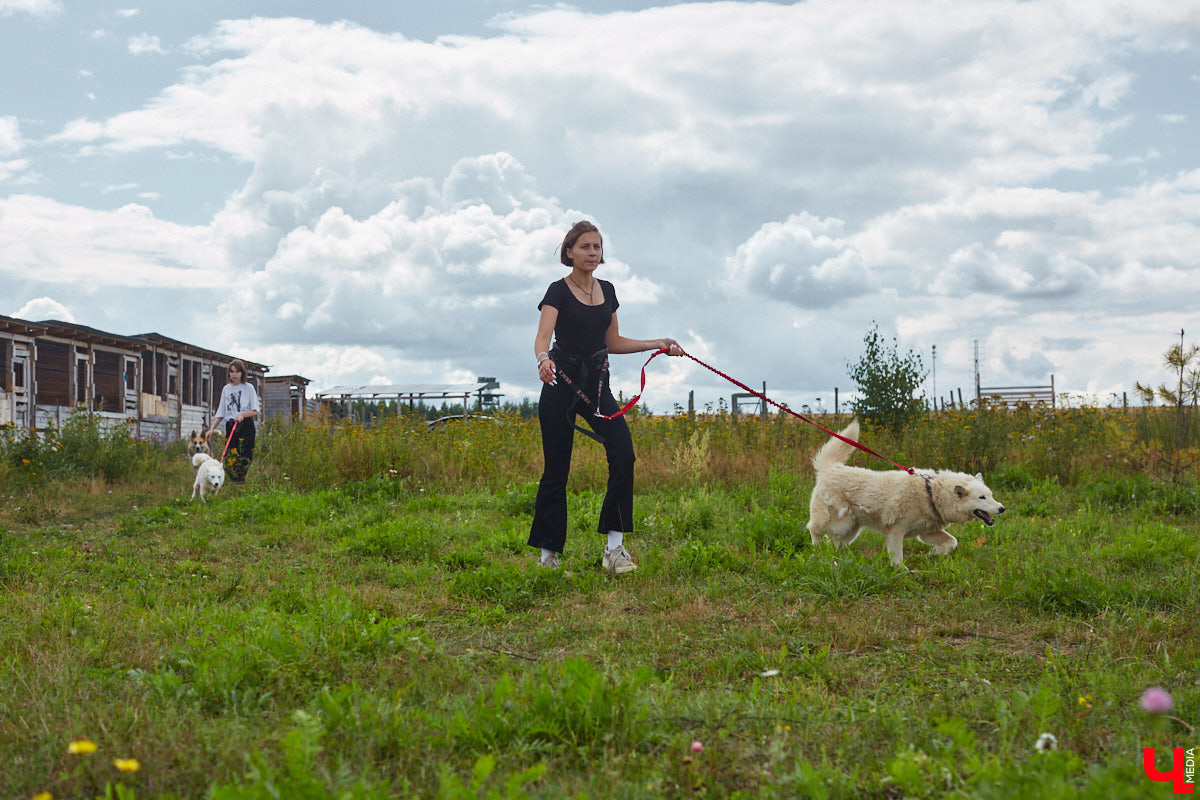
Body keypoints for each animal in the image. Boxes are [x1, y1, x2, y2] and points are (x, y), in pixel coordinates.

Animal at [806, 422, 1003, 566]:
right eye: (982, 498)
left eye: (991, 495)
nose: (1002, 509)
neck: (931, 494)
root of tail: (831, 468)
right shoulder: (896, 530)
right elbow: (898, 558)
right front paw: (902, 573)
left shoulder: (927, 532)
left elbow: (952, 542)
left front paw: (933, 554)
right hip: (835, 521)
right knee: (814, 531)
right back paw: (817, 553)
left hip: (850, 529)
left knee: (834, 543)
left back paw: (835, 559)